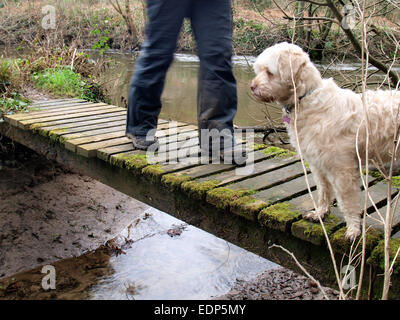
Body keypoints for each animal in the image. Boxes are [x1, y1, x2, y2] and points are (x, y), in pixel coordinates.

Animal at [252, 41, 398, 239]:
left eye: (269, 72)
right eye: (258, 70)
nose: (252, 87)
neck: (306, 99)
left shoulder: (342, 169)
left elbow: (348, 202)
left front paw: (353, 229)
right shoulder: (318, 164)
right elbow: (323, 190)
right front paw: (320, 213)